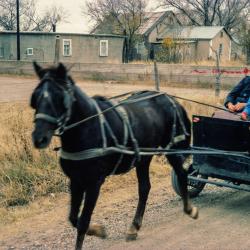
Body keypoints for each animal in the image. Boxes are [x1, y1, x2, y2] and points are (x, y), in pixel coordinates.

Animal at [30, 62, 197, 250]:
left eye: (59, 98)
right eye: (35, 97)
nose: (39, 138)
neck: (89, 126)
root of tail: (170, 99)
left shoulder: (94, 183)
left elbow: (83, 222)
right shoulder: (75, 180)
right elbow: (73, 218)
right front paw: (98, 230)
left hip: (173, 148)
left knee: (181, 173)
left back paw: (189, 209)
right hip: (143, 156)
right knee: (144, 188)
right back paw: (134, 227)